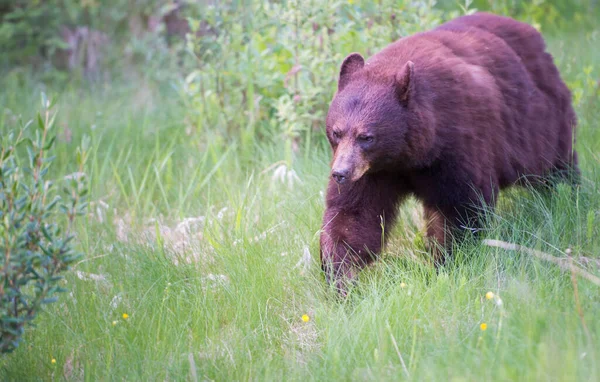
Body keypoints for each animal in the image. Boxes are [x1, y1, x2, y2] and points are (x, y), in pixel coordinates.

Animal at [322, 11, 580, 292]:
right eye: (336, 132)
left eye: (366, 137)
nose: (340, 173)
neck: (409, 154)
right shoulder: (373, 171)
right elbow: (353, 215)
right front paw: (341, 278)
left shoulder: (457, 143)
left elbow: (460, 207)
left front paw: (446, 264)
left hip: (538, 121)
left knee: (557, 165)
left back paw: (571, 194)